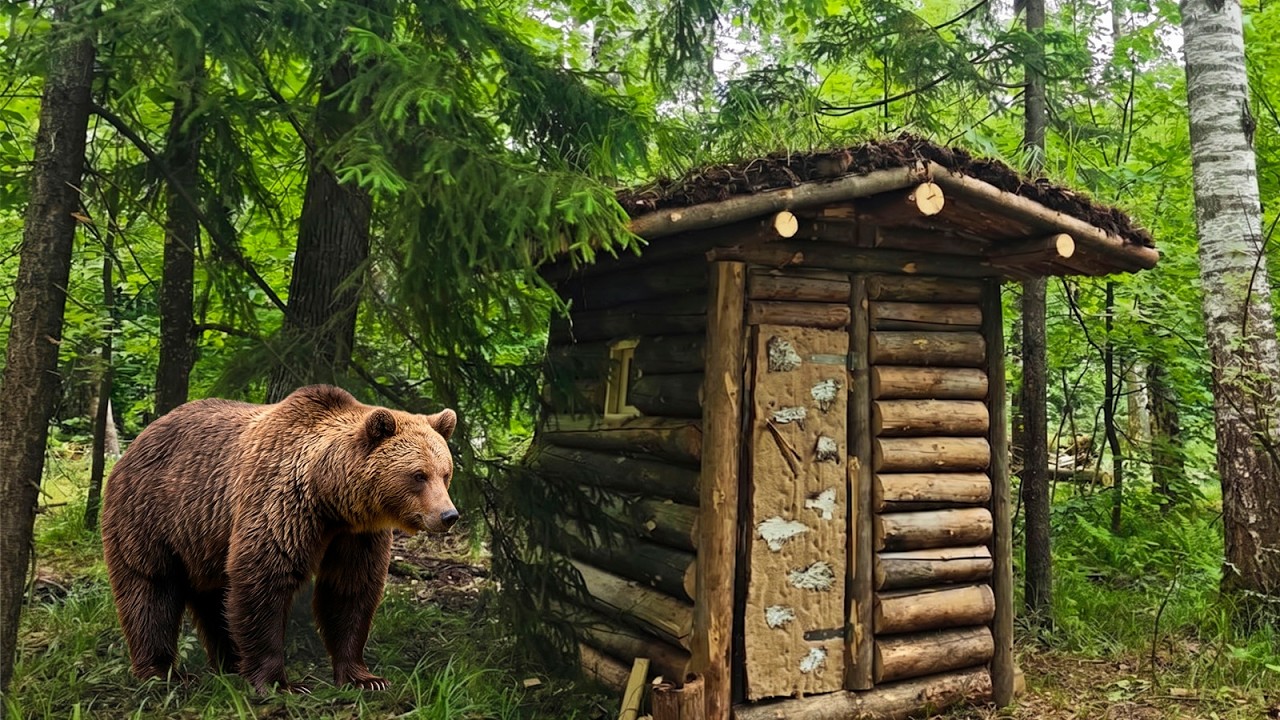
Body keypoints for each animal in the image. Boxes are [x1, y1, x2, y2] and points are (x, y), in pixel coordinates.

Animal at [101, 385, 458, 693]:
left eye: (445, 473)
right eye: (418, 475)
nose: (448, 515)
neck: (329, 497)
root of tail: (137, 442)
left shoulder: (356, 535)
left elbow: (350, 590)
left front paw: (365, 677)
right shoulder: (282, 503)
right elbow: (265, 577)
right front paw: (281, 682)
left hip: (203, 537)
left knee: (214, 597)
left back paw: (230, 663)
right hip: (151, 516)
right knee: (150, 589)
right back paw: (163, 672)